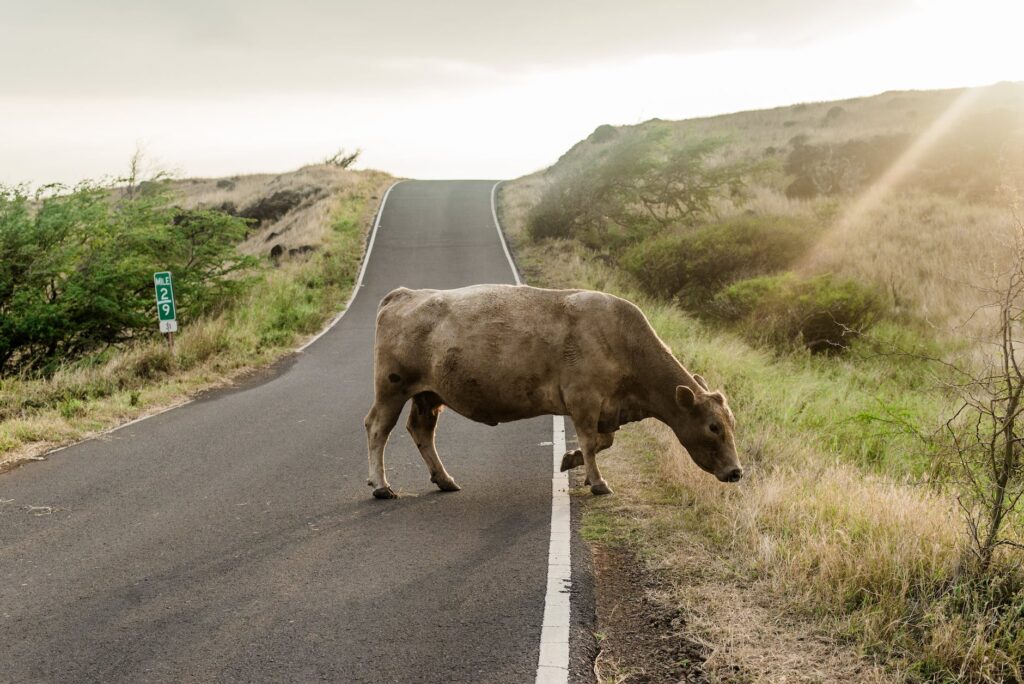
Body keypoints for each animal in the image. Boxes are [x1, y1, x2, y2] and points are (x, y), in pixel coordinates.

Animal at [366, 280, 745, 499]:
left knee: (421, 430)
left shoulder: (605, 409)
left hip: (428, 395)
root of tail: (405, 294)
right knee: (378, 428)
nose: (736, 472)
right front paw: (597, 482)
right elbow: (592, 442)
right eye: (713, 427)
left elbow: (603, 441)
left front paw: (571, 460)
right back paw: (382, 486)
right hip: (392, 387)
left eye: (732, 424)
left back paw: (444, 479)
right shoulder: (584, 400)